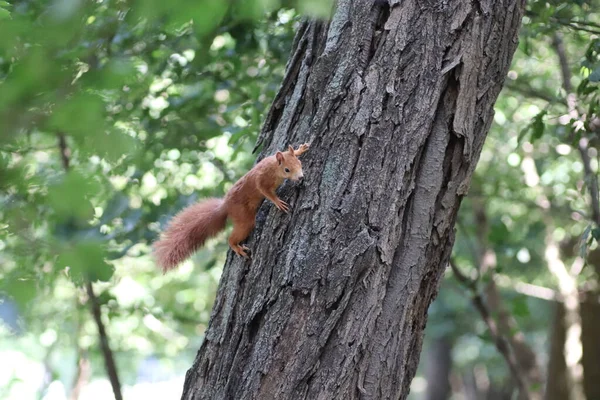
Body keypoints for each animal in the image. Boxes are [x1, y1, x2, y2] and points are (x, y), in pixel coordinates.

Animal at [154, 143, 310, 272]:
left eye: (299, 163)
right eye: (287, 170)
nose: (301, 177)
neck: (274, 167)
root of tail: (225, 206)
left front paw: (300, 149)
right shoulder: (261, 179)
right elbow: (265, 191)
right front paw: (277, 202)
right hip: (243, 217)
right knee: (232, 238)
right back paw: (237, 247)